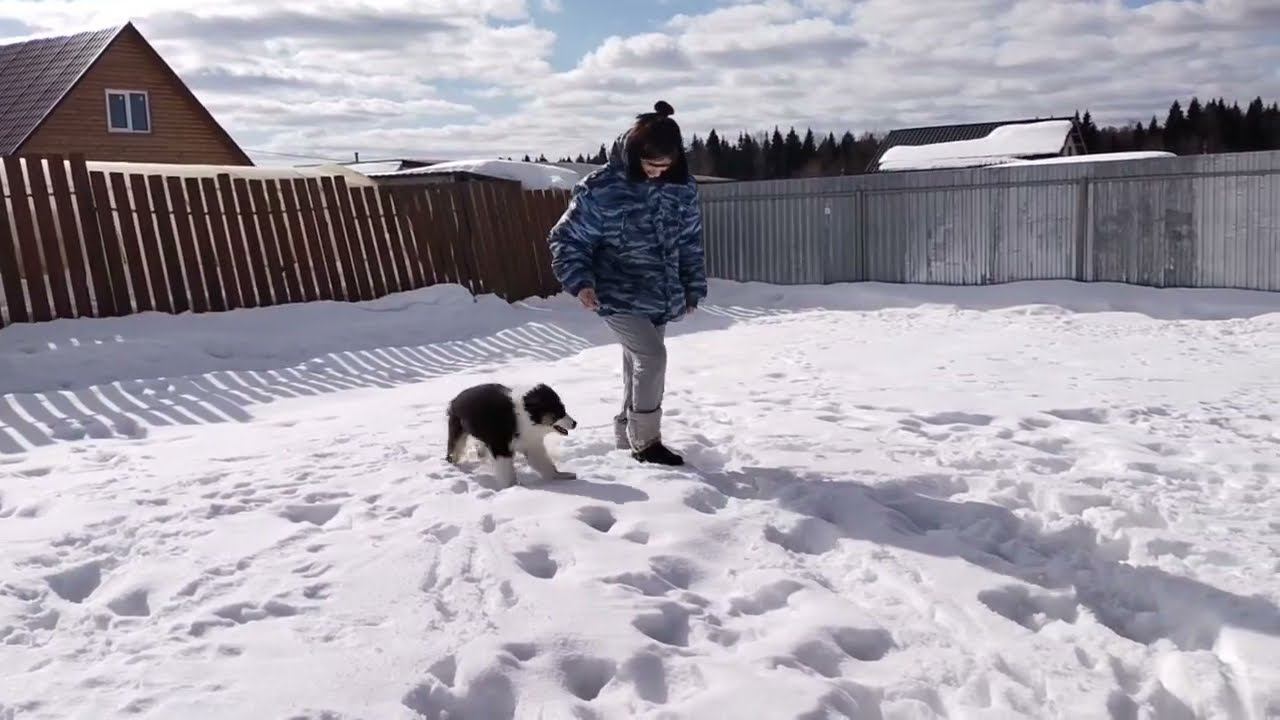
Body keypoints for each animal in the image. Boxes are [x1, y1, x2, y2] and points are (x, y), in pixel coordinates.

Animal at [445, 381, 576, 486]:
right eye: (559, 412)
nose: (575, 423)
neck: (524, 417)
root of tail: (455, 400)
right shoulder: (500, 446)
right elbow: (506, 471)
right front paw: (513, 488)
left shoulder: (532, 446)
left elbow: (545, 464)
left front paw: (560, 476)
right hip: (458, 431)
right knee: (453, 451)